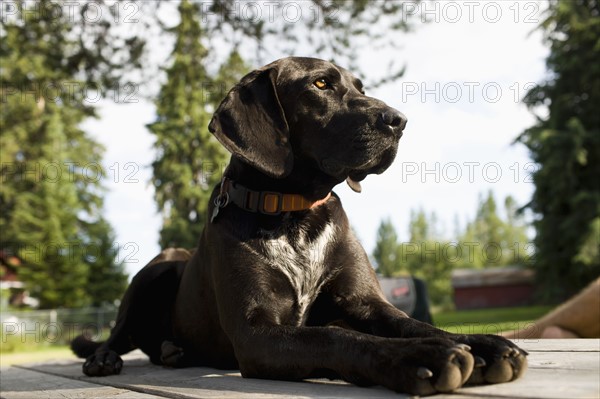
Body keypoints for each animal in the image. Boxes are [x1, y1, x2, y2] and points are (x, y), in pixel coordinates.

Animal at [72, 57, 528, 396]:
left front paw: (483, 344)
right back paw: (106, 357)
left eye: (360, 87)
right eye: (321, 84)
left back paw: (172, 352)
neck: (295, 216)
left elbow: (412, 323)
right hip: (160, 265)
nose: (398, 120)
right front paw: (422, 356)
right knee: (117, 332)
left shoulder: (366, 302)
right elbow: (335, 337)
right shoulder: (257, 333)